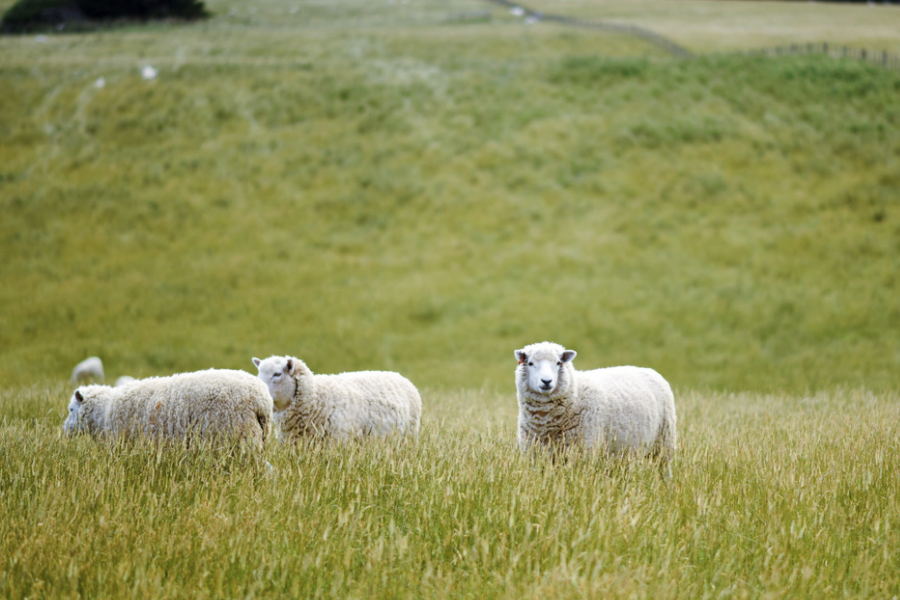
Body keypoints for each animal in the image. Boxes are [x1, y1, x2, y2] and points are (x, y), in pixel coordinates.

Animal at [512, 342, 676, 468]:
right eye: (530, 363)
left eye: (558, 363)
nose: (546, 381)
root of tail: (649, 370)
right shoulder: (535, 454)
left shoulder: (585, 451)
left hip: (664, 442)